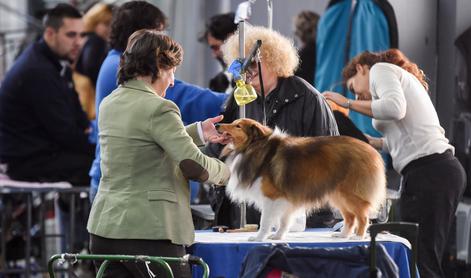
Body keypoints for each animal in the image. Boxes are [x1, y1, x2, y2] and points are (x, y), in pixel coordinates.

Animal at [218, 117, 388, 241]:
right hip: (338, 195)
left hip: (351, 194)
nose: (218, 124)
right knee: (350, 217)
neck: (255, 146)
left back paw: (358, 237)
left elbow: (265, 221)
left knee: (363, 217)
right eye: (233, 123)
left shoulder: (271, 197)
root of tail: (372, 151)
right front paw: (278, 236)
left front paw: (259, 238)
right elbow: (283, 221)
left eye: (238, 126)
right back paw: (342, 235)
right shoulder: (284, 199)